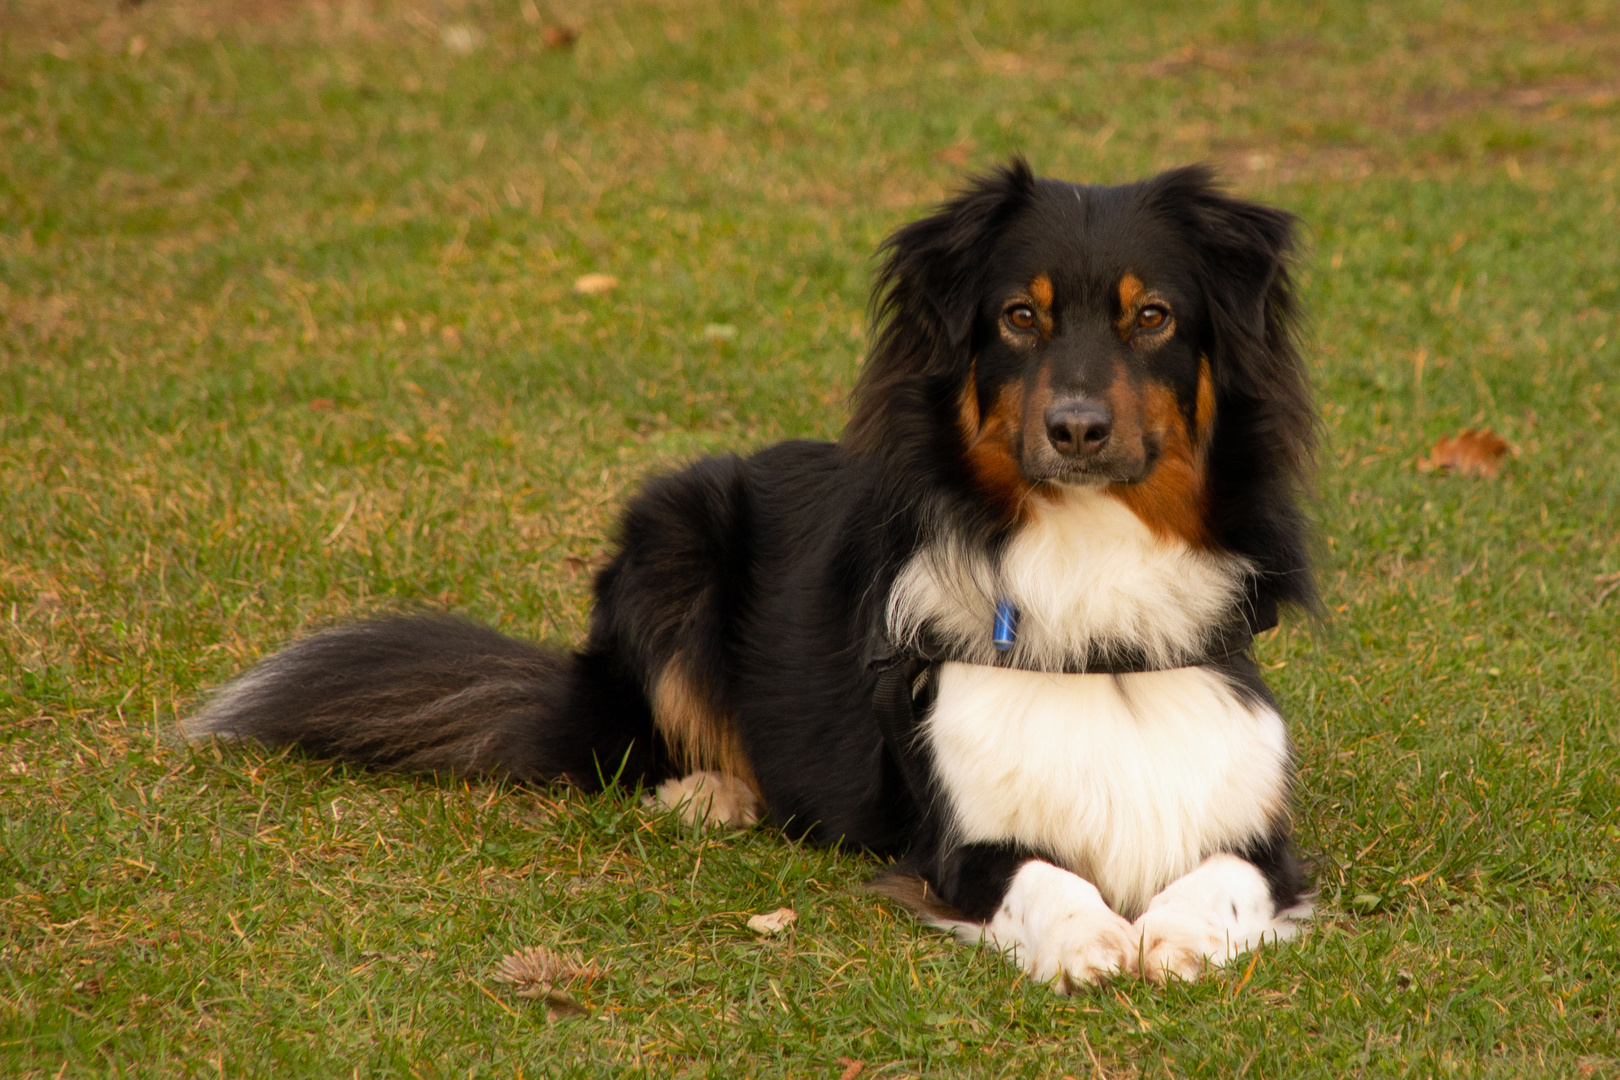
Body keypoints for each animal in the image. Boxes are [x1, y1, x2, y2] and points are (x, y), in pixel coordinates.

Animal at [196, 158, 1321, 990]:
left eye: (1153, 318)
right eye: (1019, 318)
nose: (1076, 430)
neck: (1091, 569)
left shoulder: (1261, 831)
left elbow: (1224, 877)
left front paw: (1174, 935)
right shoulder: (953, 842)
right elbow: (1040, 874)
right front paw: (1092, 938)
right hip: (673, 533)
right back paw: (711, 792)